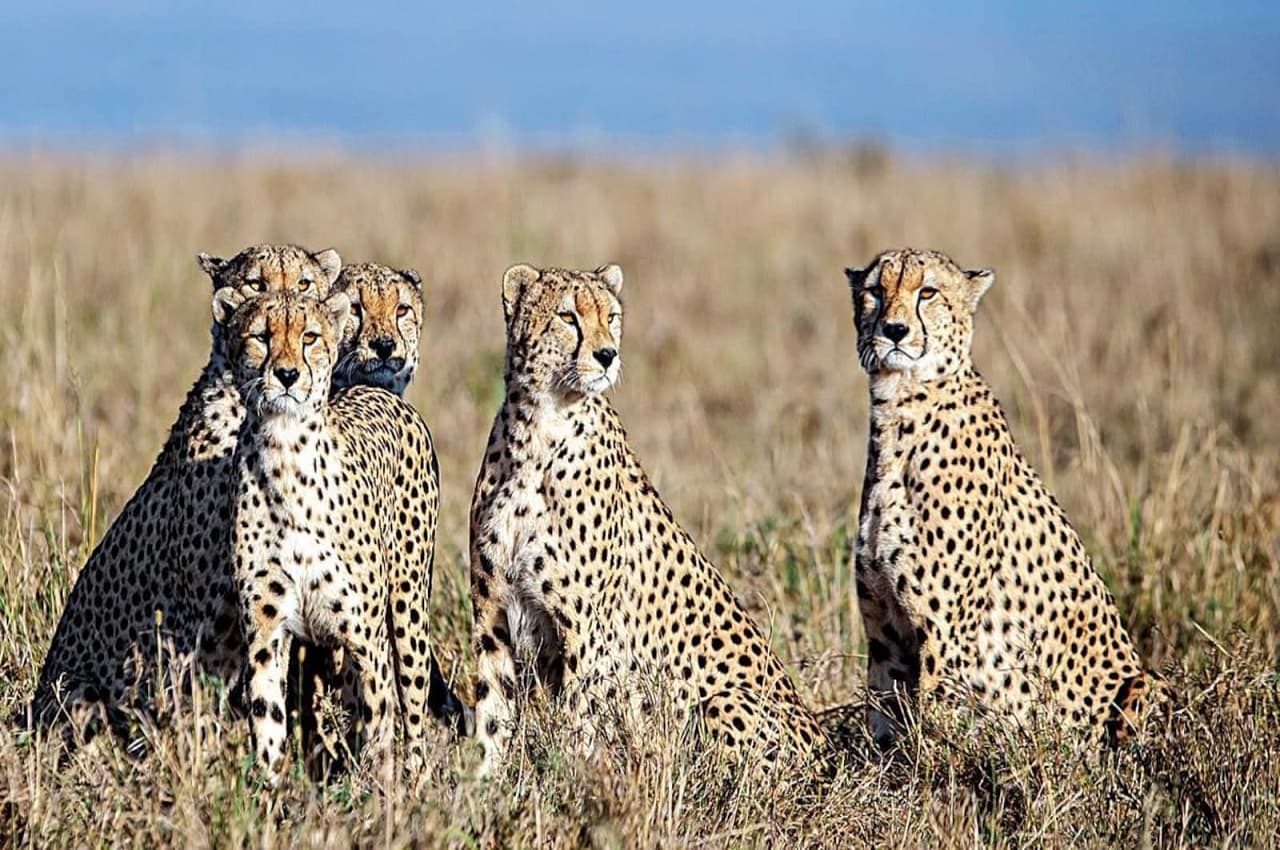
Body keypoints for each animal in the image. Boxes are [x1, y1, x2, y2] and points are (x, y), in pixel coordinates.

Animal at [223, 288, 447, 776]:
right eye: (261, 337)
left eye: (309, 337)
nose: (287, 374)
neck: (285, 453)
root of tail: (374, 390)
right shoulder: (265, 635)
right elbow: (267, 721)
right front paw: (270, 791)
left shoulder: (366, 638)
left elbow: (380, 725)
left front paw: (380, 792)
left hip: (407, 611)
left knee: (412, 711)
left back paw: (415, 778)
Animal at [469, 262, 829, 777]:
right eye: (567, 317)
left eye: (611, 316)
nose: (607, 355)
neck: (539, 429)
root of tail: (827, 750)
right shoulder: (494, 614)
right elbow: (492, 715)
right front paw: (483, 786)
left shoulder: (586, 631)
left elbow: (578, 719)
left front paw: (574, 782)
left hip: (723, 703)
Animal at [845, 247, 1150, 749]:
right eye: (874, 290)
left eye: (927, 292)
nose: (894, 330)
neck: (899, 408)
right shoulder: (886, 633)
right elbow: (884, 722)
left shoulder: (945, 637)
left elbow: (933, 730)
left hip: (1143, 684)